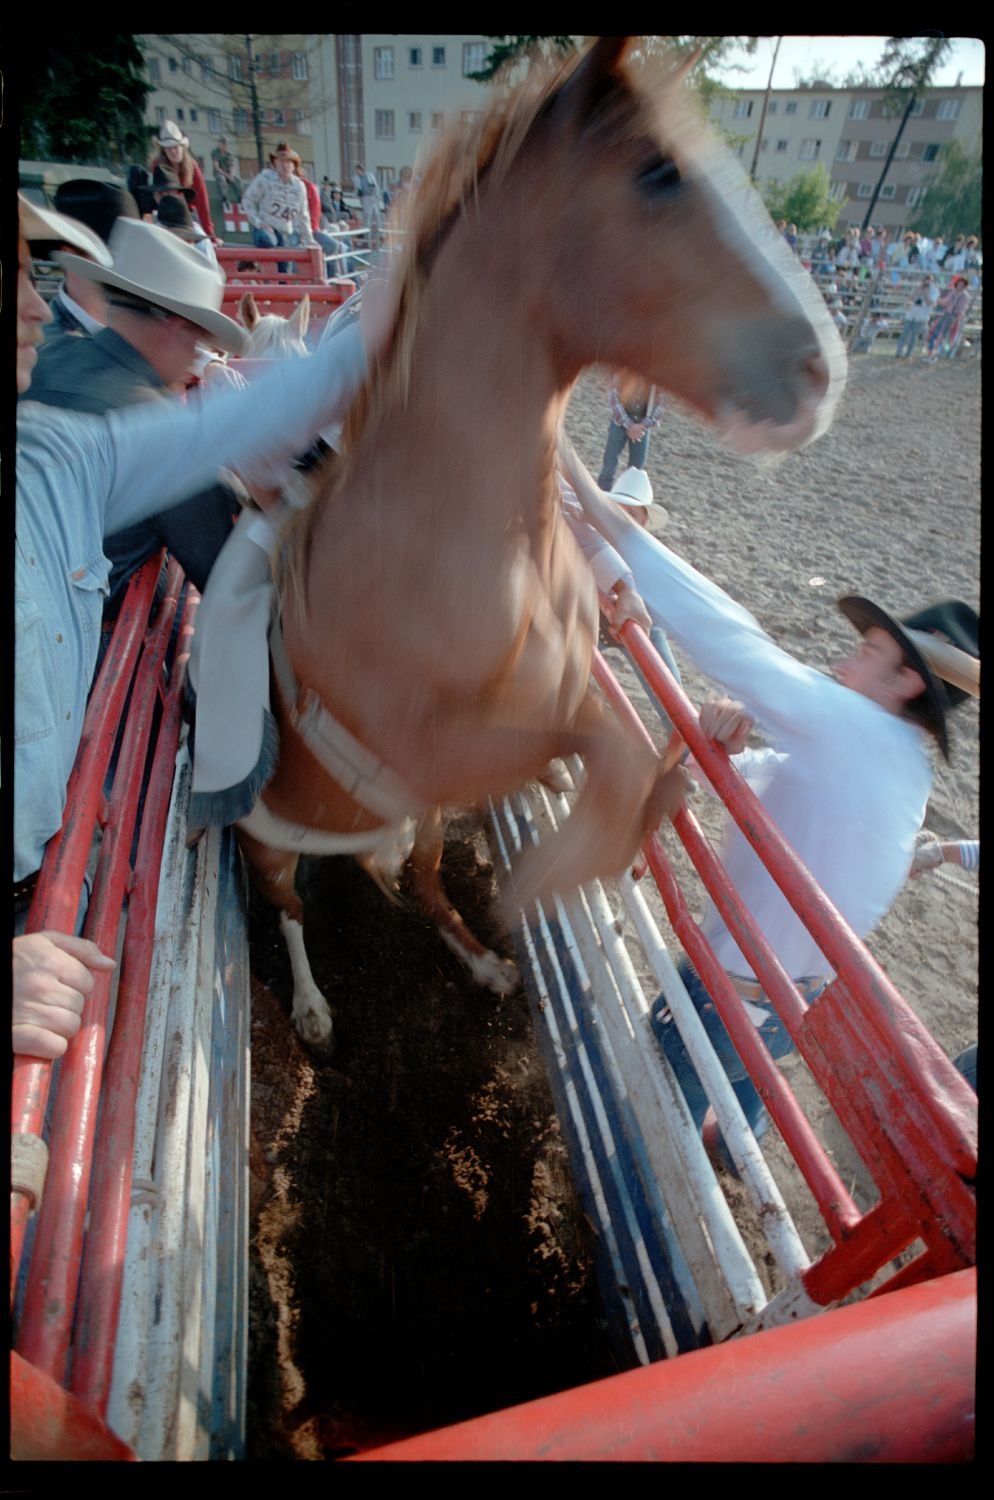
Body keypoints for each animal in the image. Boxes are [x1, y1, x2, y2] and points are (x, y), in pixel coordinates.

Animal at [235, 38, 845, 1044]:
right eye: (658, 171)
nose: (818, 370)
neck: (467, 531)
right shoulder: (433, 750)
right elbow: (609, 749)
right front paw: (570, 862)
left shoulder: (537, 709)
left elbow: (613, 740)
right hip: (274, 844)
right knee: (286, 909)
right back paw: (317, 1008)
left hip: (419, 826)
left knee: (423, 883)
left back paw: (486, 963)